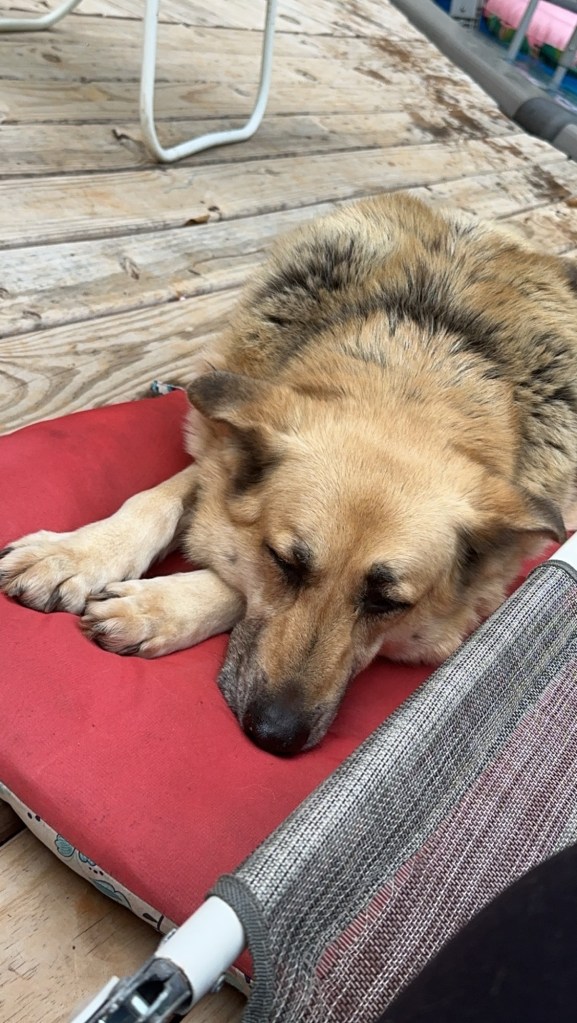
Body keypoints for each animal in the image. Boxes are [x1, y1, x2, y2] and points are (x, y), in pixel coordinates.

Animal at [2, 193, 577, 756]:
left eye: (388, 603)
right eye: (285, 562)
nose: (276, 736)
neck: (416, 372)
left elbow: (234, 586)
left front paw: (158, 609)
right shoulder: (224, 449)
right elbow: (156, 500)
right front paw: (76, 555)